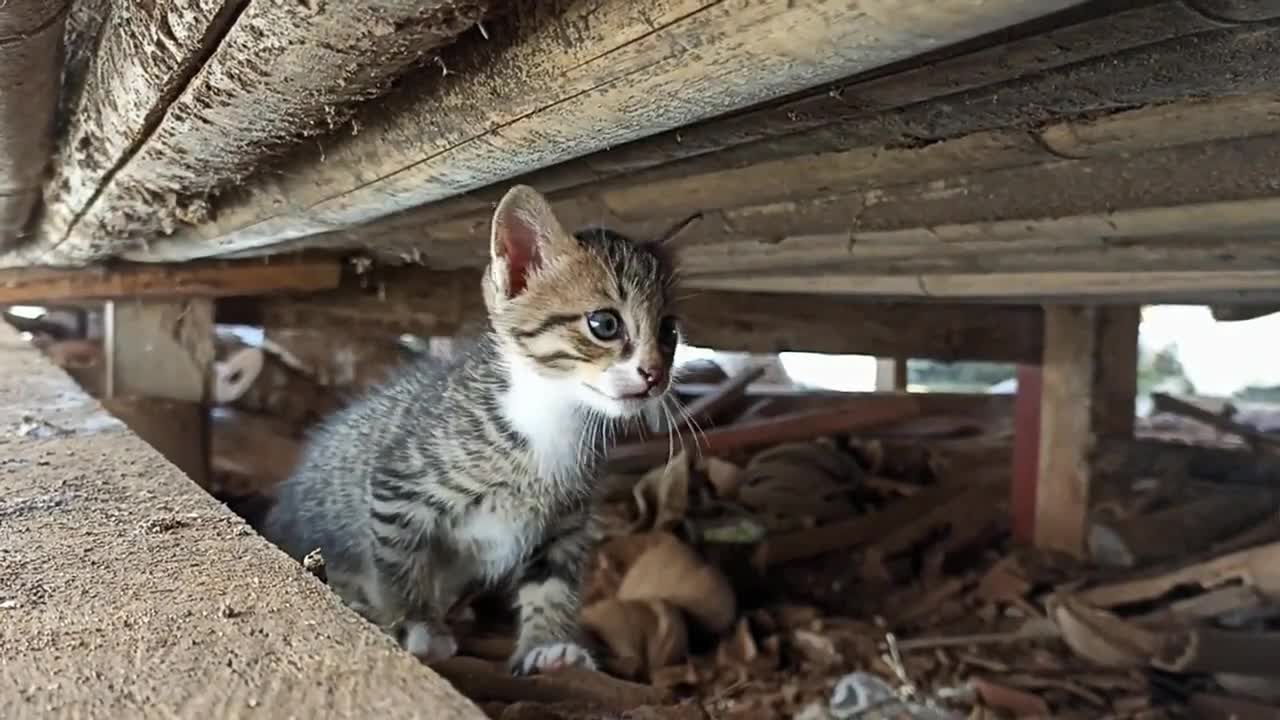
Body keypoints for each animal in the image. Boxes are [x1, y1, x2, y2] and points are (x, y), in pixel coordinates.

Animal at [263, 181, 686, 671]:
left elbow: (553, 582)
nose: (655, 375)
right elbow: (399, 563)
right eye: (604, 323)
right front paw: (418, 625)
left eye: (669, 332)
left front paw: (548, 645)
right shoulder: (397, 487)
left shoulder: (565, 522)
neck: (550, 414)